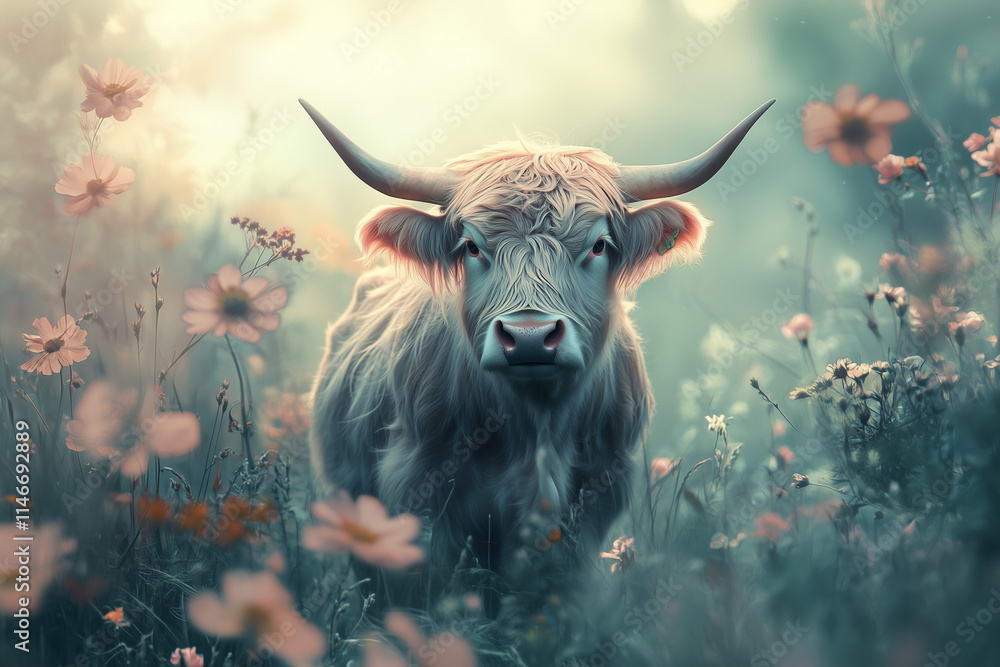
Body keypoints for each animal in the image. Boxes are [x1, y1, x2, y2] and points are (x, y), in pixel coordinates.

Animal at [304, 98, 773, 607]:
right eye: (471, 246)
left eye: (599, 245)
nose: (529, 336)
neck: (538, 423)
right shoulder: (417, 490)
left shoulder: (595, 502)